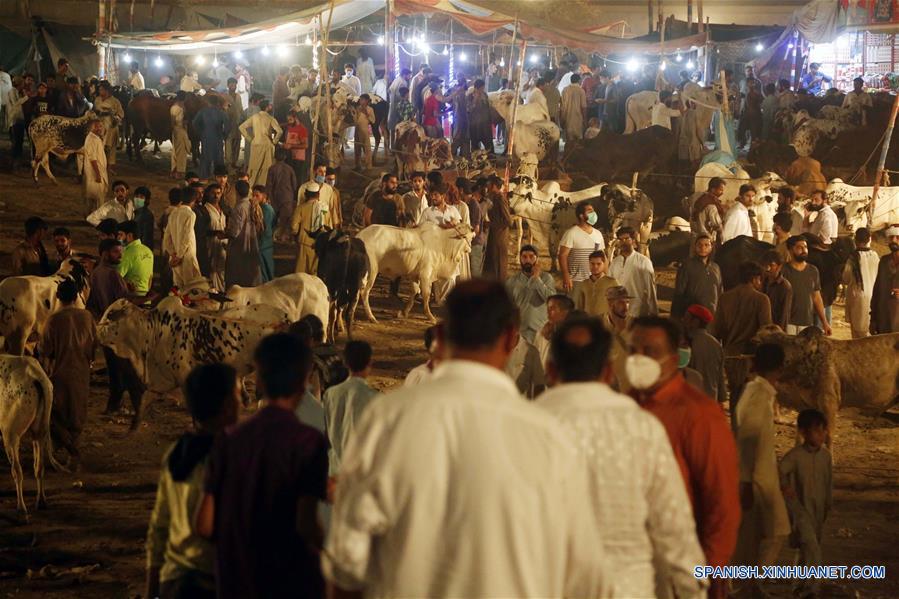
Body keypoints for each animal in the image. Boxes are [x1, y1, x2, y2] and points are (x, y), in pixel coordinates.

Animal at [0, 356, 66, 516]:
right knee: (39, 467)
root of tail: (36, 375)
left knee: (17, 471)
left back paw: (21, 508)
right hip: (39, 431)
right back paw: (41, 502)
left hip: (10, 434)